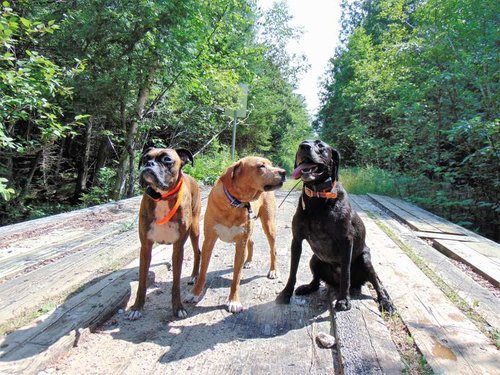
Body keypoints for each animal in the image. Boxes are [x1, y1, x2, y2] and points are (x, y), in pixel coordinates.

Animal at [127, 147, 201, 320]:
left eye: (167, 159)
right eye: (145, 158)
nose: (149, 164)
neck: (162, 197)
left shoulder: (178, 249)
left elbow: (176, 283)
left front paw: (178, 307)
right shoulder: (146, 248)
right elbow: (142, 282)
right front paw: (136, 307)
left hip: (194, 230)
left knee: (198, 252)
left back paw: (194, 276)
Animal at [187, 156, 286, 314]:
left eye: (270, 164)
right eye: (261, 166)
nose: (283, 172)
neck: (235, 203)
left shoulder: (240, 244)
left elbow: (236, 277)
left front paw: (233, 301)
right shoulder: (209, 241)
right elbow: (202, 272)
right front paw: (195, 293)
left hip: (269, 225)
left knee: (273, 250)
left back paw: (273, 270)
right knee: (252, 242)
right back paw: (249, 261)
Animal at [276, 140, 396, 312]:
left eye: (320, 146)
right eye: (302, 143)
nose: (304, 146)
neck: (318, 198)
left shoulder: (346, 242)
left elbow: (346, 275)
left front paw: (344, 300)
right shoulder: (296, 240)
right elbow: (293, 271)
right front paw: (286, 293)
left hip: (366, 261)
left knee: (376, 284)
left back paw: (385, 302)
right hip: (315, 260)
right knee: (316, 281)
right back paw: (307, 287)